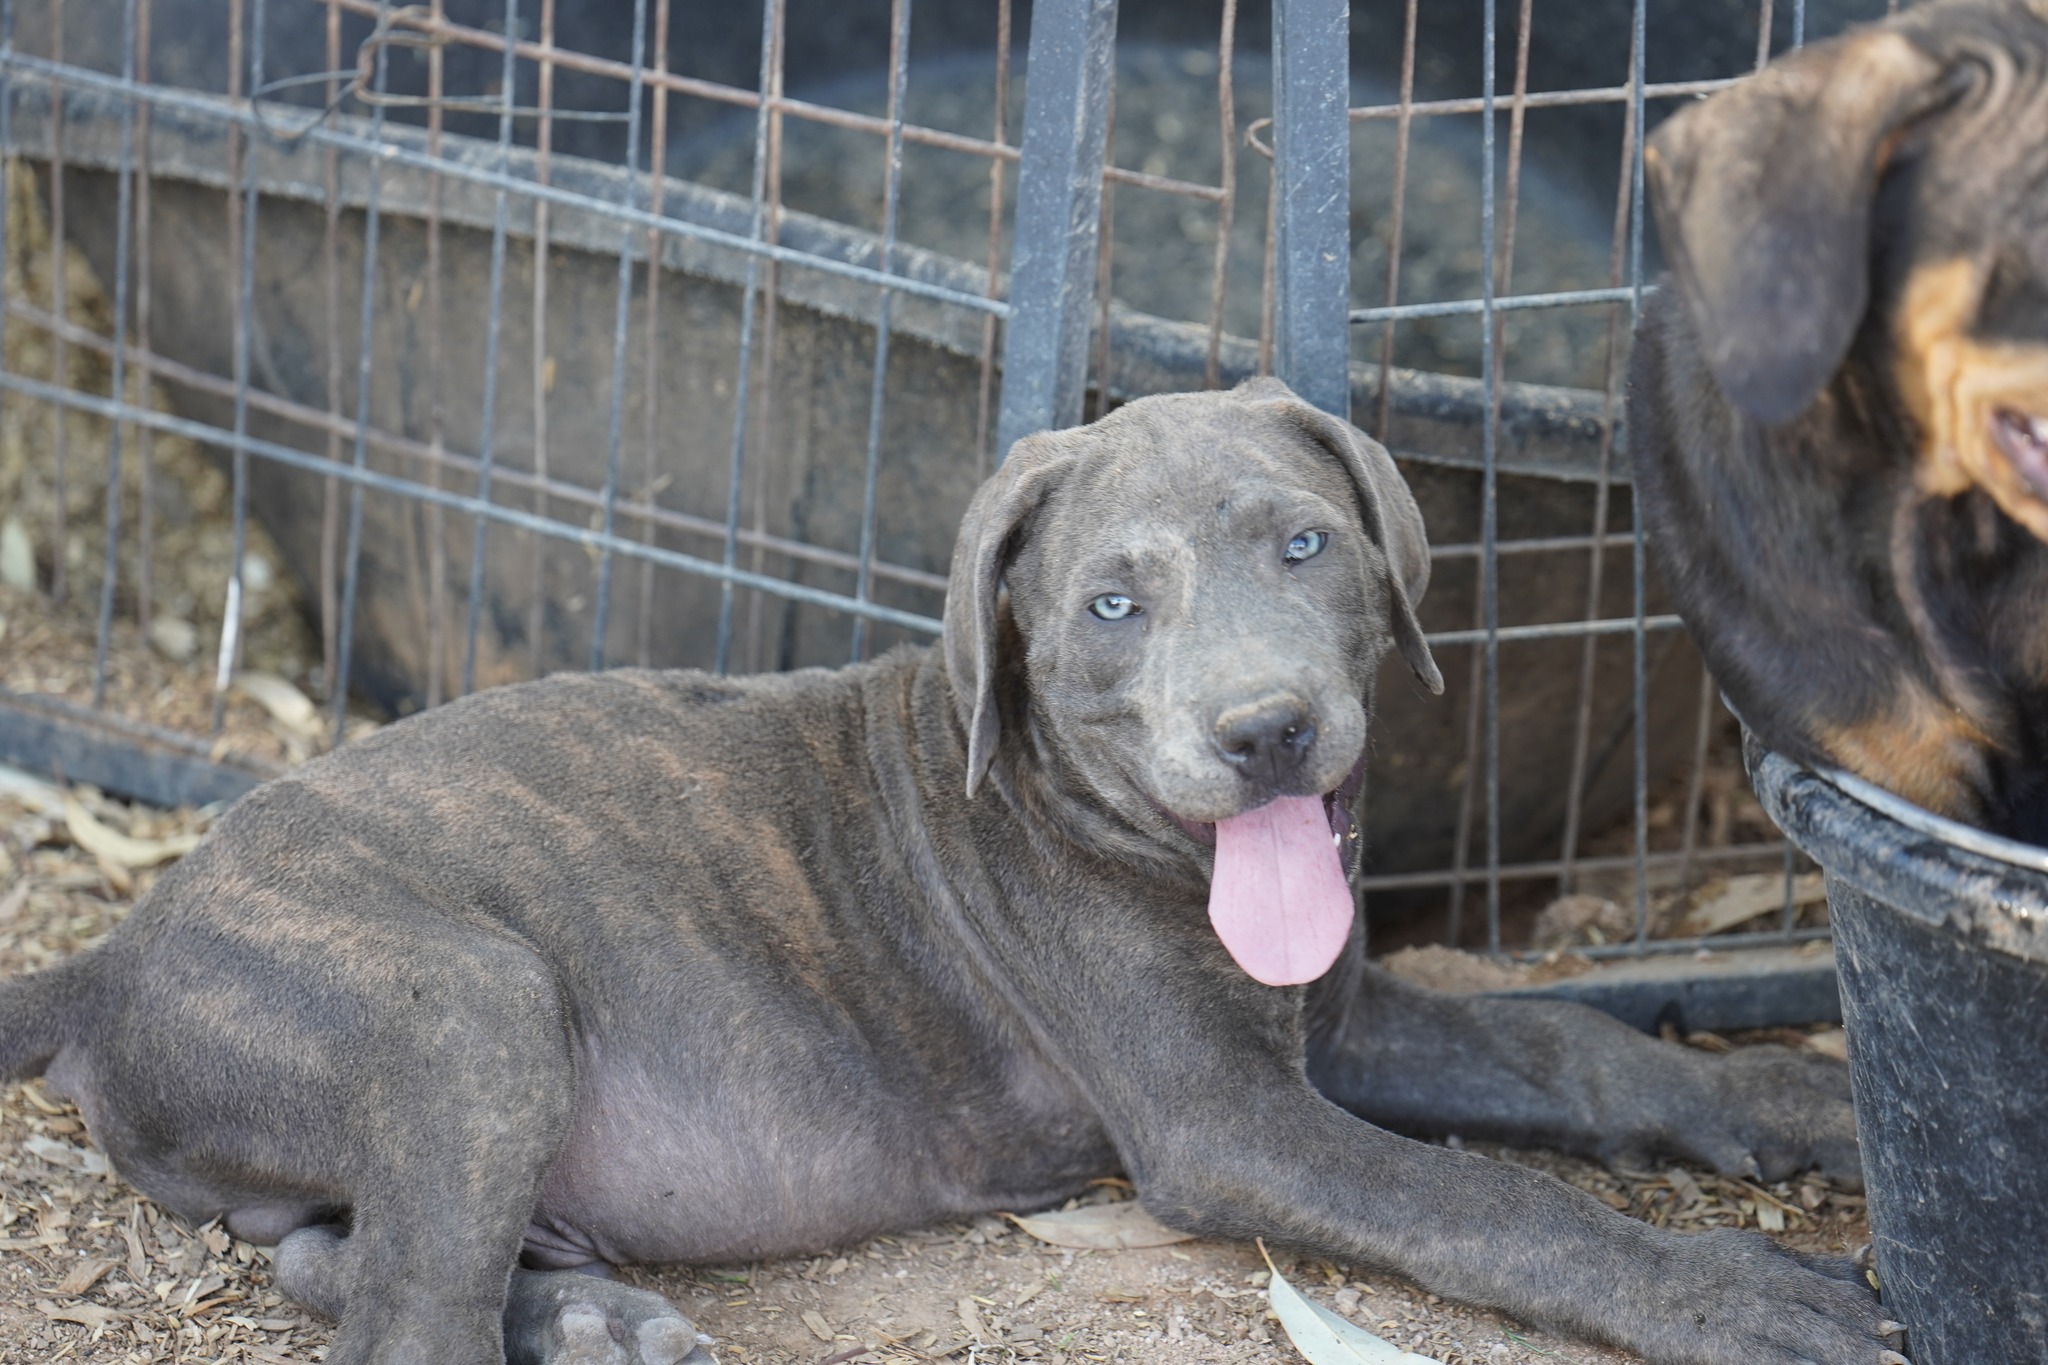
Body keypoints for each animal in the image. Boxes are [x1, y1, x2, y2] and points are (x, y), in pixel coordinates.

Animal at [0, 382, 1892, 1365]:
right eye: (1110, 604)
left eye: (1305, 543)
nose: (1267, 731)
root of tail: (107, 957)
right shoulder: (1231, 1125)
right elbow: (1496, 1204)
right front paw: (1745, 1299)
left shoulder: (1334, 1027)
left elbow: (1583, 1048)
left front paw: (1812, 1111)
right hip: (466, 1002)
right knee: (401, 1313)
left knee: (336, 1257)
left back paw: (595, 1319)